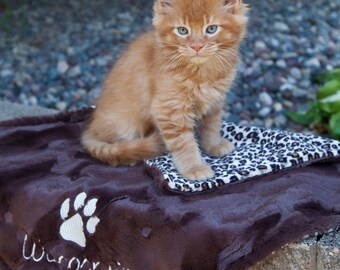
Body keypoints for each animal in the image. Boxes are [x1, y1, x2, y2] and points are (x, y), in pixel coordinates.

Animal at [81, 0, 248, 181]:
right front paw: (194, 167)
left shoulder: (215, 101)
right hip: (126, 125)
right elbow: (184, 143)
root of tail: (92, 127)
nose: (197, 46)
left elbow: (212, 126)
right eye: (182, 30)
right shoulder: (169, 109)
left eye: (211, 29)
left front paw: (214, 145)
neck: (201, 71)